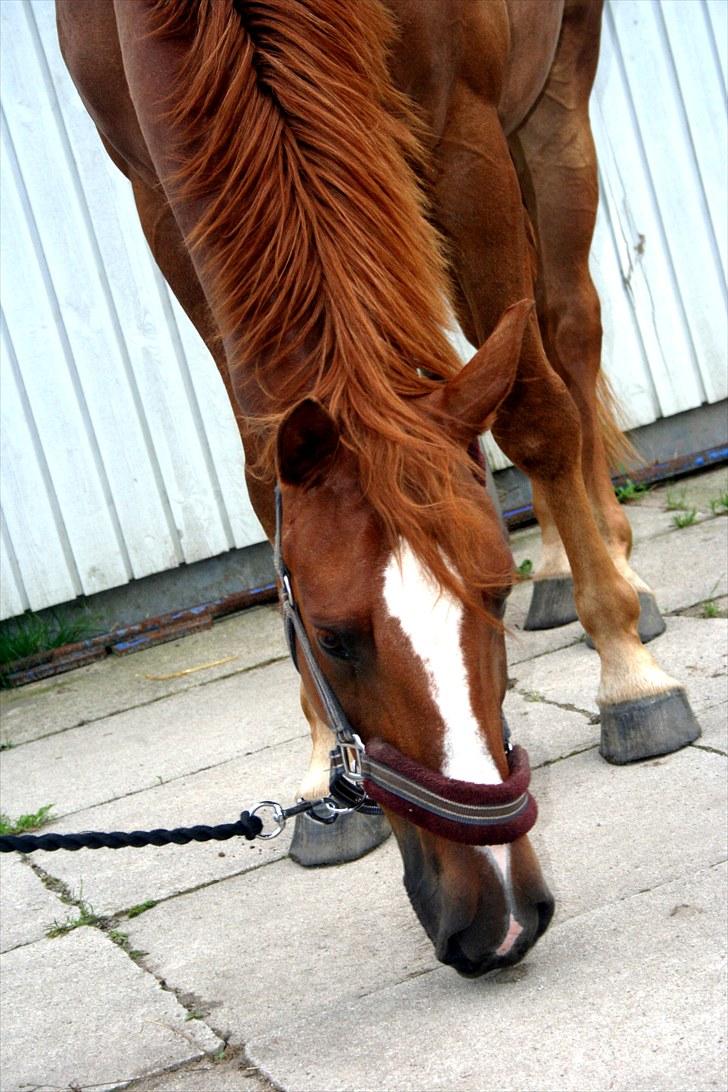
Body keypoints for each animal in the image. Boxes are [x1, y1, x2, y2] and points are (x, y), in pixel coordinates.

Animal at [58, 0, 698, 974]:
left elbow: (535, 407)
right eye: (328, 637)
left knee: (564, 329)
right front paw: (321, 763)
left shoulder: (466, 130)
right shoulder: (161, 194)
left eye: (491, 595)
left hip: (551, 95)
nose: (502, 922)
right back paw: (564, 569)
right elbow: (261, 468)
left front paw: (631, 675)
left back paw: (616, 581)